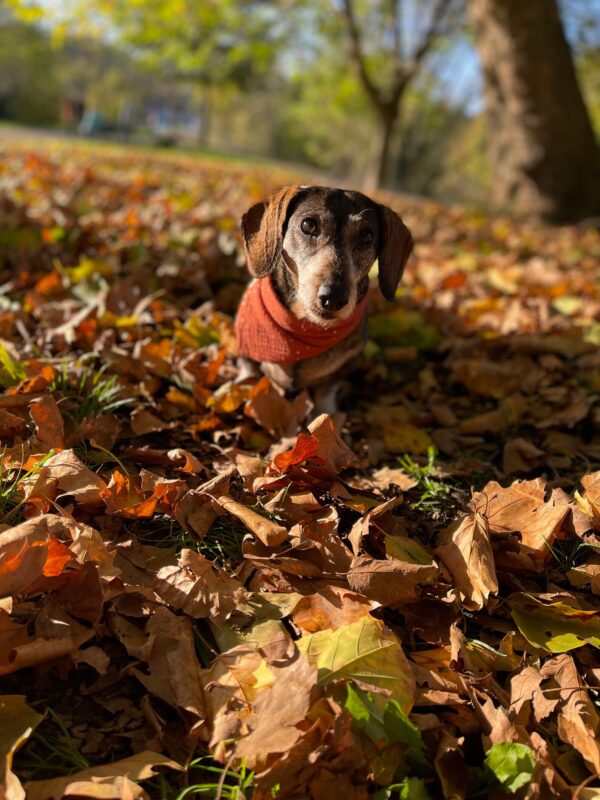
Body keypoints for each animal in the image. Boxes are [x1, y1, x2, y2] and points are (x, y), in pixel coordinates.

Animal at [234, 187, 412, 412]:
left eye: (366, 236)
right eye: (308, 225)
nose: (334, 298)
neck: (304, 329)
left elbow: (326, 393)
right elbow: (248, 374)